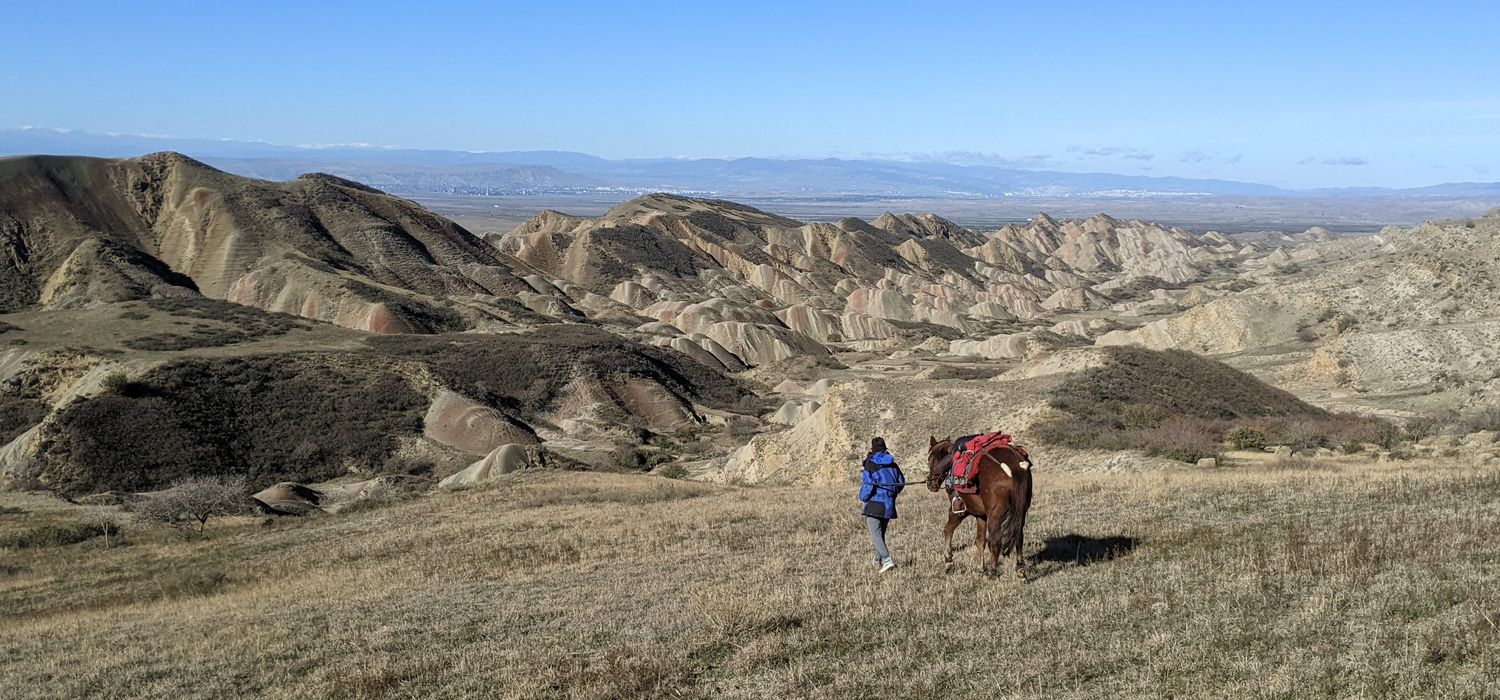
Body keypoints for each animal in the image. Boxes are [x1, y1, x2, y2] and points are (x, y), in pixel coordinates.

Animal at [924, 437, 1032, 581]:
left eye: (930, 459)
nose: (930, 484)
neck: (953, 459)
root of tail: (1014, 465)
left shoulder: (959, 511)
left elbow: (948, 530)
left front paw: (949, 561)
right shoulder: (981, 516)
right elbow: (980, 541)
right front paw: (980, 568)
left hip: (995, 515)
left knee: (995, 542)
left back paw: (991, 572)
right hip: (1021, 512)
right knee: (1018, 538)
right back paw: (1020, 570)